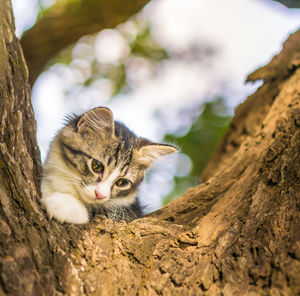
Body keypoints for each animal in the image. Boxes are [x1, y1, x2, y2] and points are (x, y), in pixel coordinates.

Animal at [39, 107, 176, 224]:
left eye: (121, 182)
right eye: (97, 166)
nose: (100, 195)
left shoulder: (130, 213)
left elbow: (102, 211)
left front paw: (64, 204)